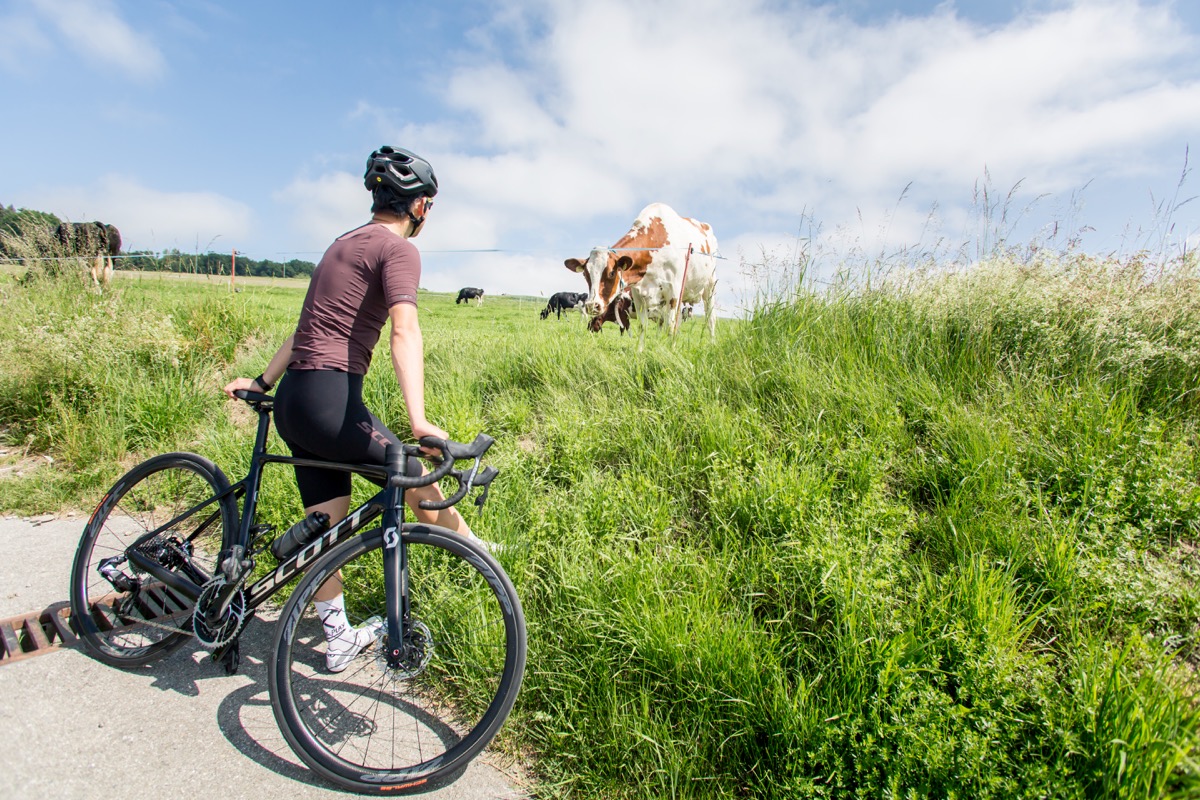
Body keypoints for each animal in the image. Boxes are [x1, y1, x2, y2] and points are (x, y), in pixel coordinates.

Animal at [561, 201, 710, 347]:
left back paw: (711, 343)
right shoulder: (638, 295)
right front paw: (640, 351)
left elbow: (663, 327)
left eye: (612, 273)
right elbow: (642, 326)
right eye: (585, 274)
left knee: (709, 318)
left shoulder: (672, 293)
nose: (592, 305)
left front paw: (669, 351)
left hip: (709, 288)